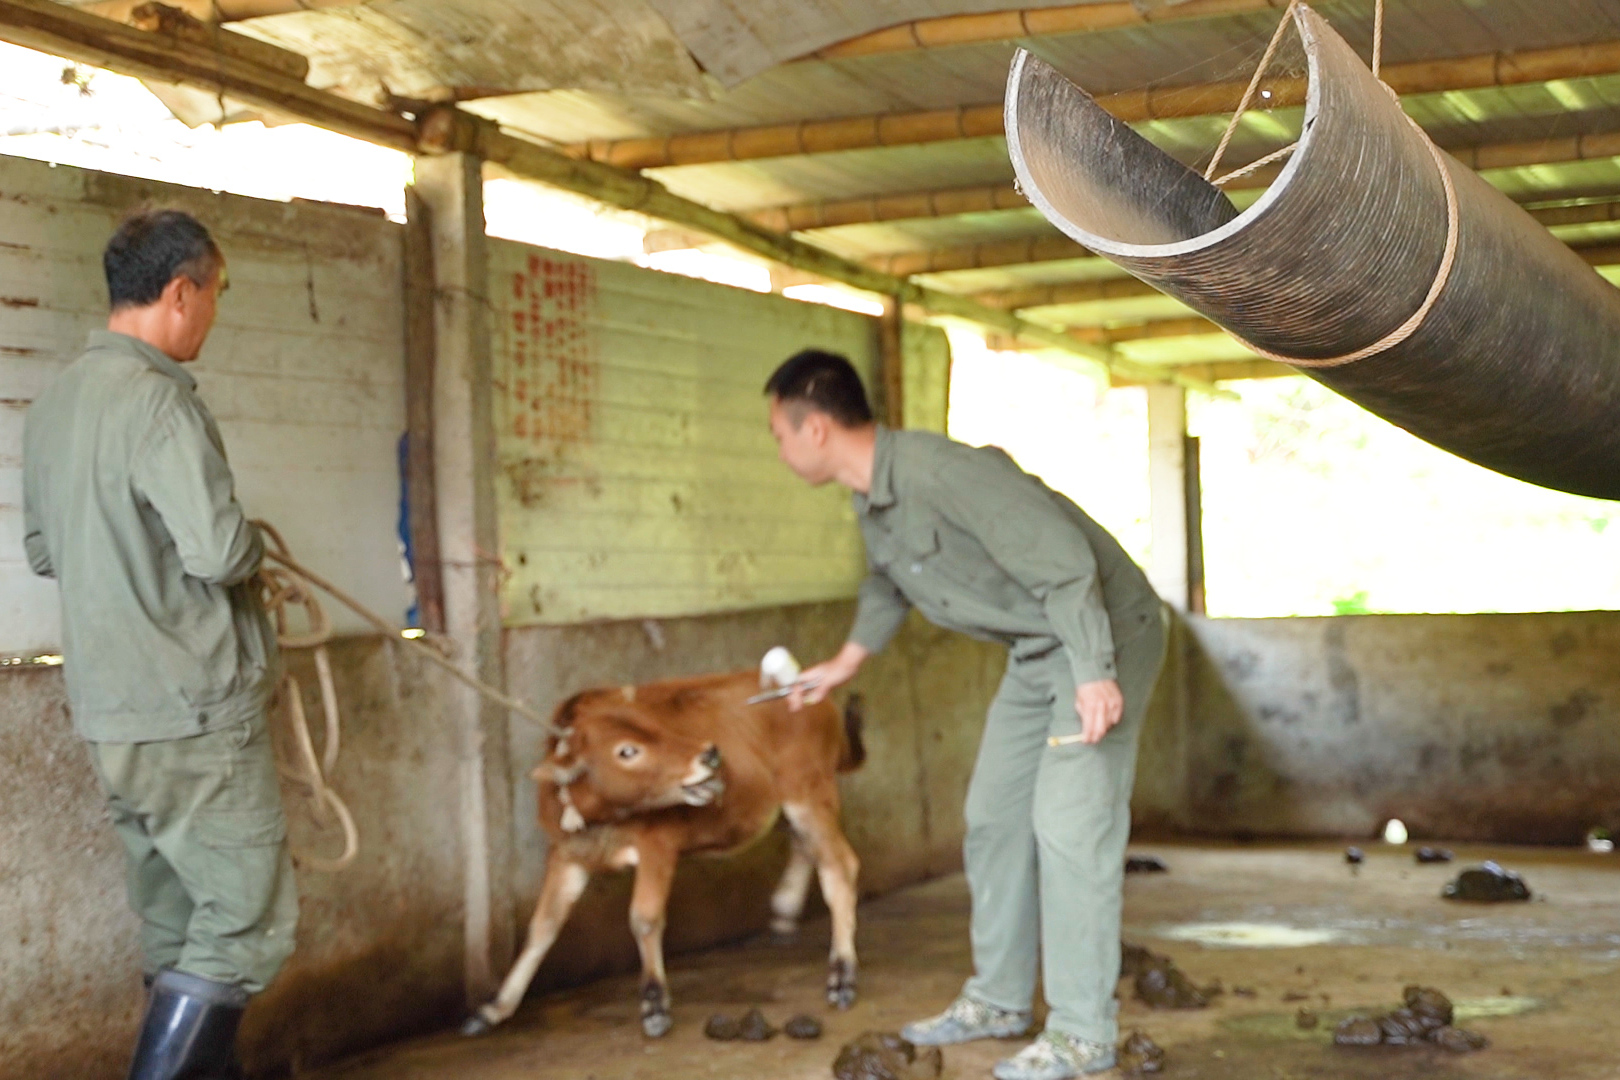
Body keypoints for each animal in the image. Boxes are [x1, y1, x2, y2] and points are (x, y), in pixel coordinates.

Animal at [460, 667, 861, 1036]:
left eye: (653, 724)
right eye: (627, 750)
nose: (710, 754)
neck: (602, 820)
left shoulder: (658, 844)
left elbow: (644, 917)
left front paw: (654, 1005)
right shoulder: (566, 853)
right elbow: (542, 926)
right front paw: (493, 1008)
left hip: (809, 793)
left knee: (840, 865)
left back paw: (842, 976)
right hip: (786, 806)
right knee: (807, 847)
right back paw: (784, 913)